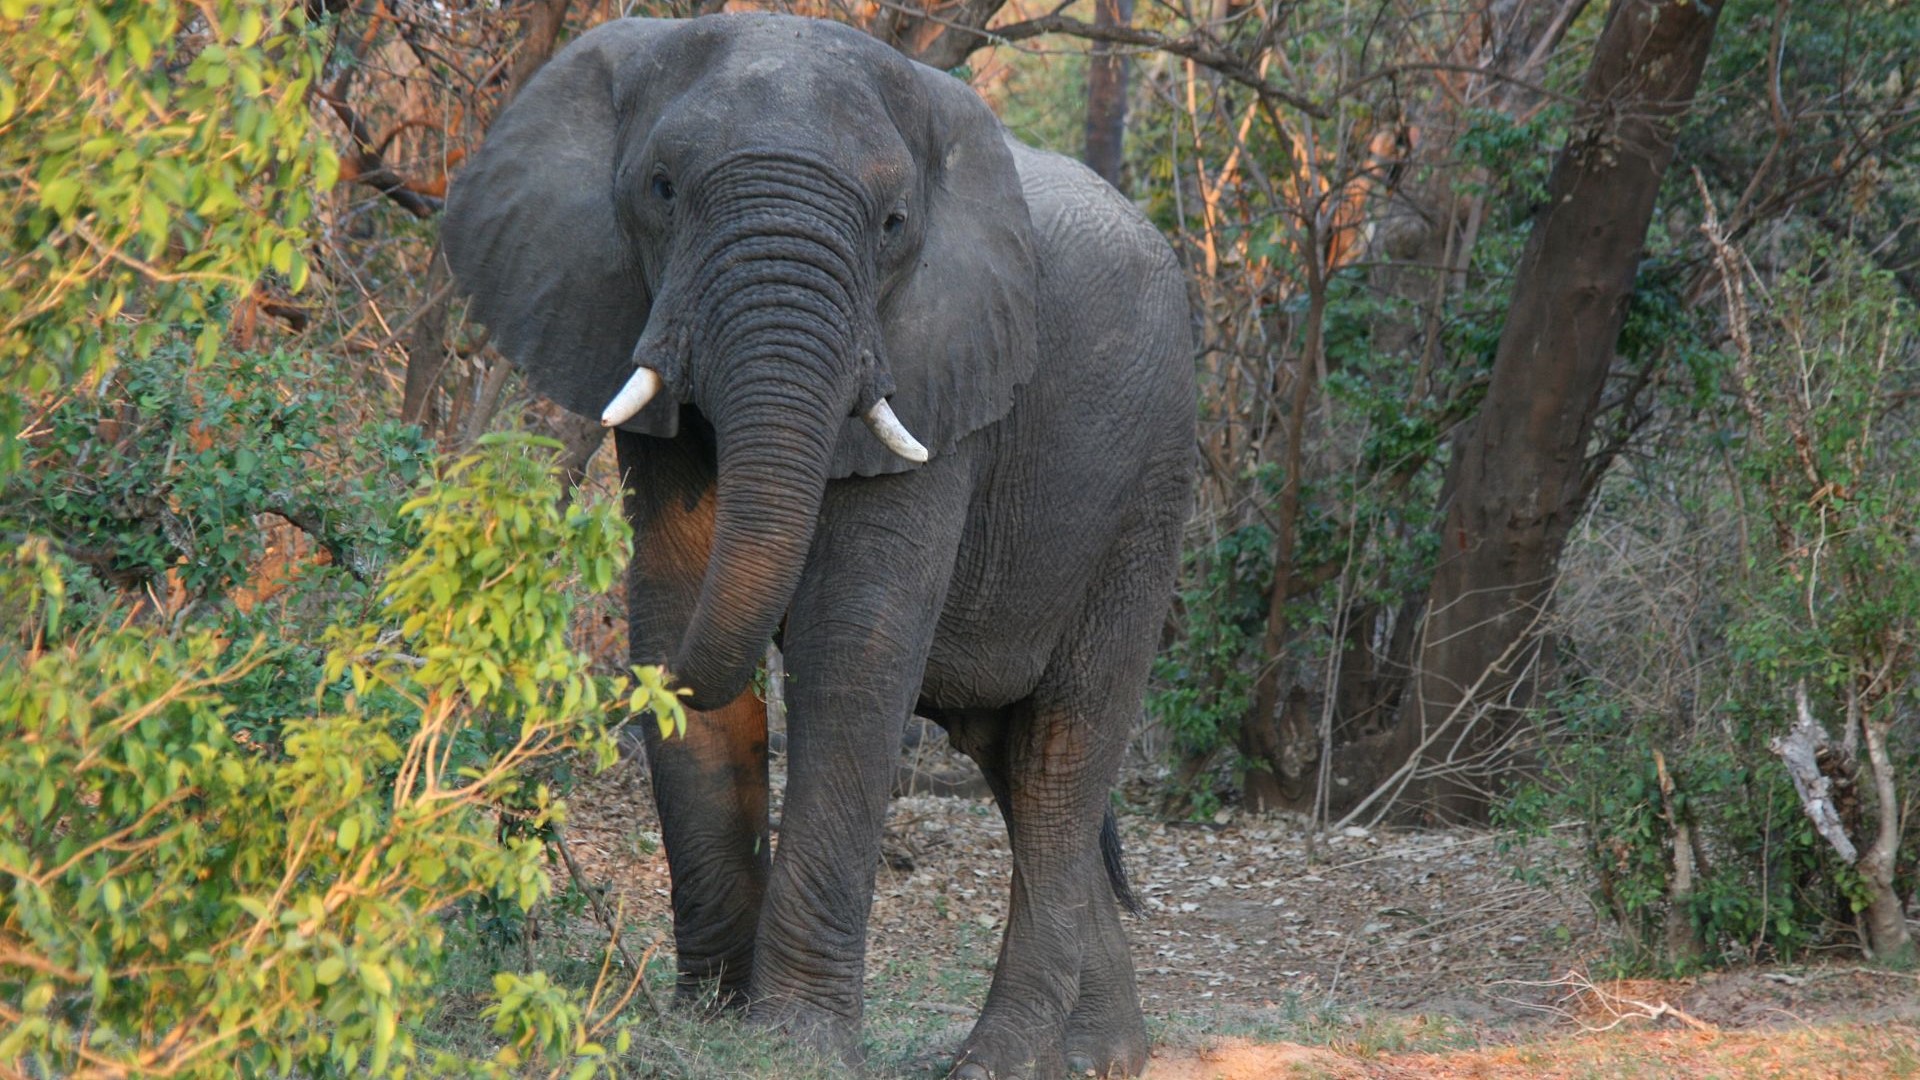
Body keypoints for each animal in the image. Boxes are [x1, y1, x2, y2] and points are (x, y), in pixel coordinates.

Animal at [440, 14, 1194, 1078]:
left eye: (892, 225)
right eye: (661, 190)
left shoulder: (940, 371)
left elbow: (854, 642)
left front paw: (793, 1036)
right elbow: (678, 604)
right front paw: (713, 1019)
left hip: (1149, 483)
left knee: (1060, 755)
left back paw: (1000, 1059)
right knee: (1005, 755)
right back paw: (1099, 1056)